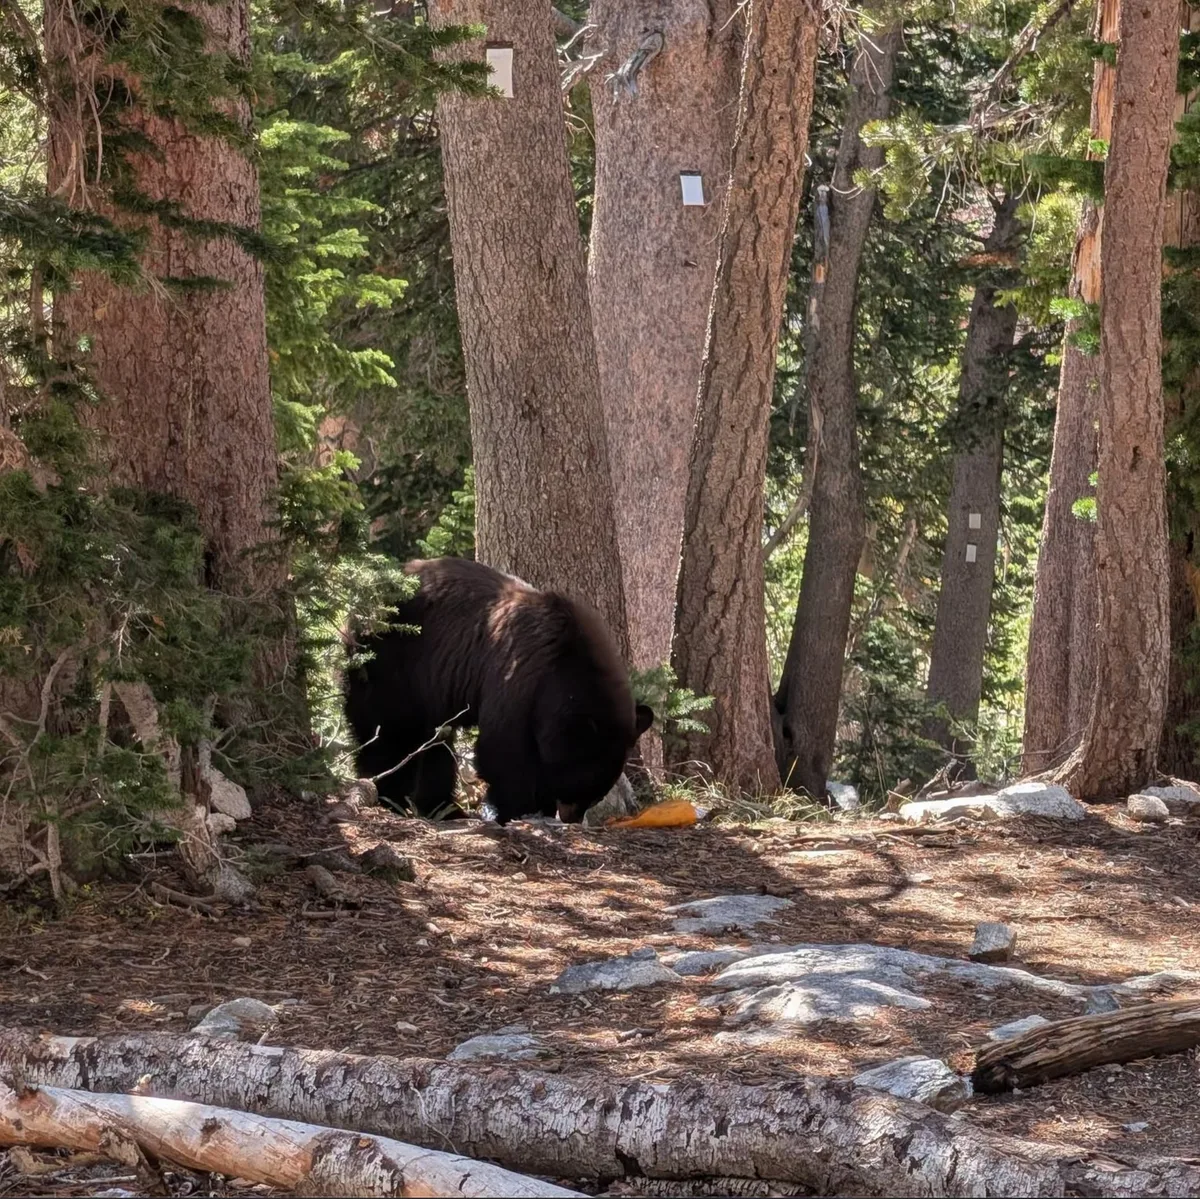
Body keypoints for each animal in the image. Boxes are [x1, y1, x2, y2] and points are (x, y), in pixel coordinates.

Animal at [344, 556, 654, 825]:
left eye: (597, 793)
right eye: (578, 785)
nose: (571, 818)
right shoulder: (519, 679)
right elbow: (504, 748)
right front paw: (517, 809)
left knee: (437, 744)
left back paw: (445, 808)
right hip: (387, 661)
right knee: (388, 730)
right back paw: (389, 795)